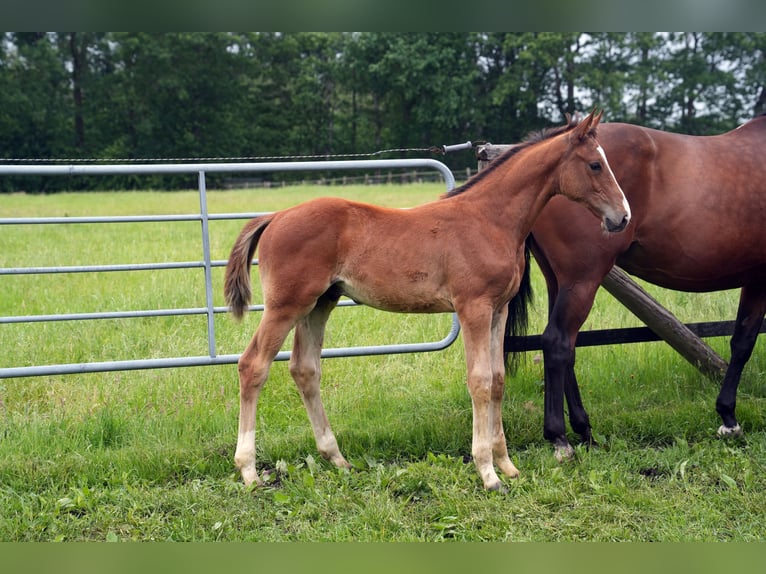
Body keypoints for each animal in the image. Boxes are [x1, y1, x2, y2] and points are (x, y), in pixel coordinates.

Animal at [224, 109, 630, 491]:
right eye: (595, 164)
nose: (623, 217)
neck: (489, 219)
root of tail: (275, 216)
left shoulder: (498, 309)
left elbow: (498, 379)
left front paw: (508, 466)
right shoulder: (473, 308)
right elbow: (480, 380)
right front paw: (488, 473)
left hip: (321, 302)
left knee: (305, 369)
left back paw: (337, 458)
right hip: (286, 305)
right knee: (253, 365)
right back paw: (249, 471)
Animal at [507, 114, 766, 461]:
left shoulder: (754, 278)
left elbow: (740, 342)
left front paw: (727, 416)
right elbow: (745, 343)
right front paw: (729, 418)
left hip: (559, 280)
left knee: (565, 346)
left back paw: (584, 430)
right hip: (582, 279)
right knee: (557, 343)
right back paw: (560, 437)